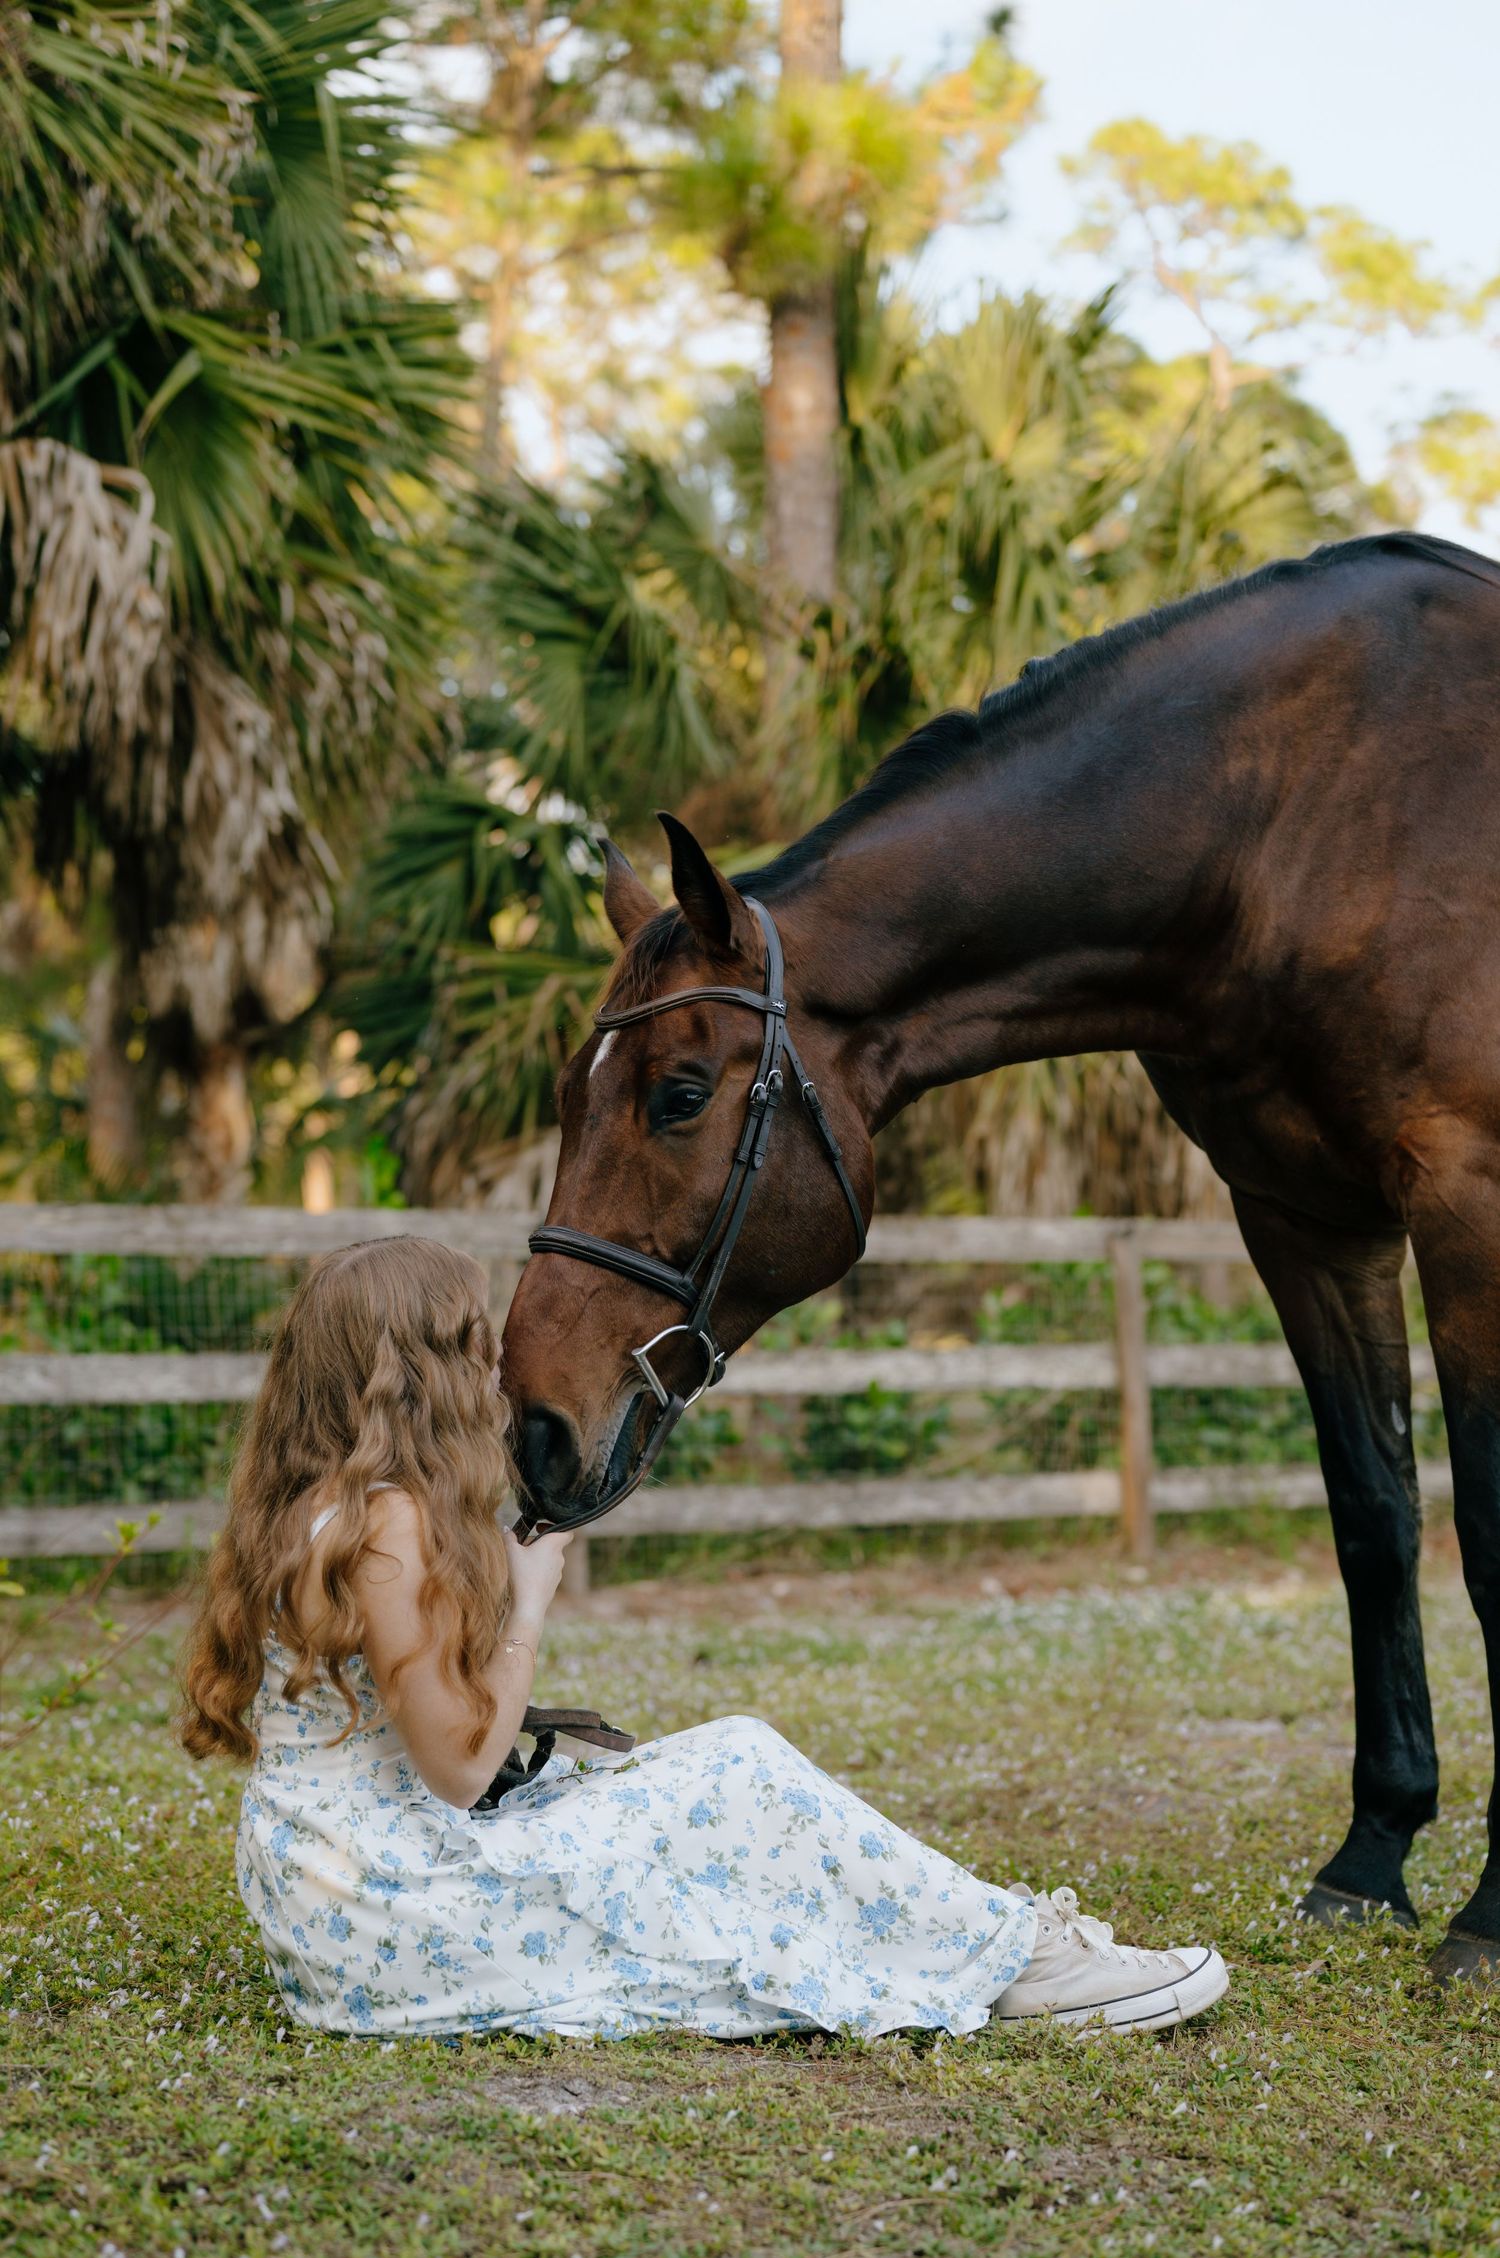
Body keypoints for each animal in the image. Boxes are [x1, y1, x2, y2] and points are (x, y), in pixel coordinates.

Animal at [501, 528, 1500, 1985]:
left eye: (679, 1094)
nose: (533, 1419)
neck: (1299, 820)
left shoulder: (1470, 1206)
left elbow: (1485, 1535)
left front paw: (1489, 1911)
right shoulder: (1305, 1219)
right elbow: (1376, 1520)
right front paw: (1373, 1858)